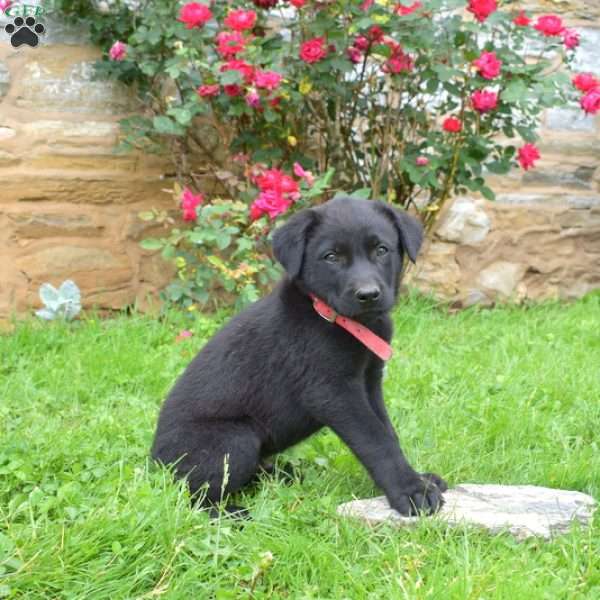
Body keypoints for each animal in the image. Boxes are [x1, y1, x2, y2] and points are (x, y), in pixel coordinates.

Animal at [152, 197, 448, 516]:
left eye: (381, 250)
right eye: (331, 257)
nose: (368, 294)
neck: (332, 316)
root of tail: (154, 462)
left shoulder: (370, 382)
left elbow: (387, 430)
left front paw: (418, 478)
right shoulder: (333, 391)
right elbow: (376, 440)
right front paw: (411, 490)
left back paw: (281, 473)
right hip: (235, 439)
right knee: (191, 495)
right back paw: (231, 513)